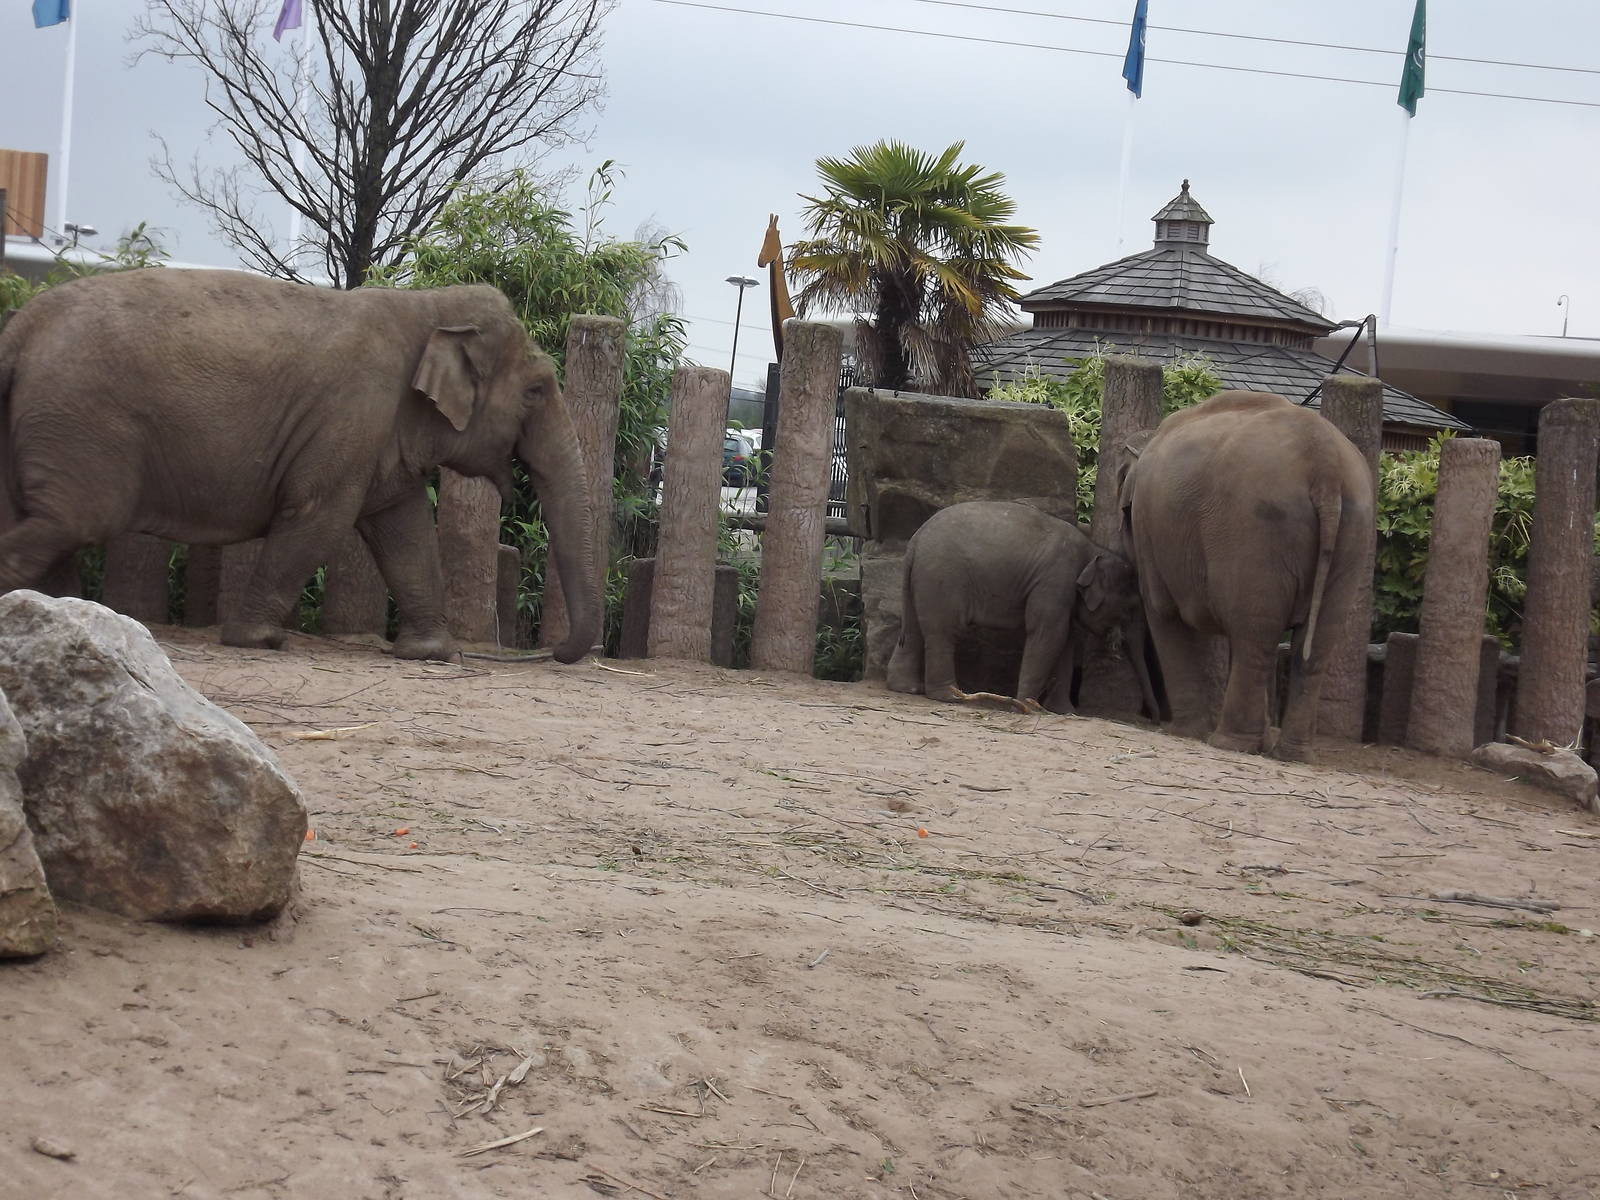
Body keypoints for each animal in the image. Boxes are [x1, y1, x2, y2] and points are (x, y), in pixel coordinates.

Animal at [0, 268, 598, 663]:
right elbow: (319, 516)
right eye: (536, 391)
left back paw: (62, 611)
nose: (555, 654)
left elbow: (404, 530)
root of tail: (19, 330)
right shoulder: (350, 415)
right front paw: (259, 640)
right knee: (72, 521)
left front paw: (430, 652)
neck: (426, 307)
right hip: (82, 422)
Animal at [886, 499, 1152, 715]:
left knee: (913, 629)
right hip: (943, 577)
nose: (1155, 718)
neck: (1093, 549)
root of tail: (915, 541)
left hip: (922, 579)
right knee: (943, 632)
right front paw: (1027, 706)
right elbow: (1048, 635)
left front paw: (1065, 712)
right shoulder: (1055, 579)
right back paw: (949, 696)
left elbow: (1064, 643)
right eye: (1130, 608)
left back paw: (907, 688)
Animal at [1116, 389, 1374, 760]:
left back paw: (1228, 743)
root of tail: (1325, 463)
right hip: (1352, 532)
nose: (1150, 719)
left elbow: (1163, 613)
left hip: (1253, 526)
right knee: (1306, 641)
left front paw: (1184, 733)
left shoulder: (1149, 532)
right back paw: (1291, 754)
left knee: (1254, 634)